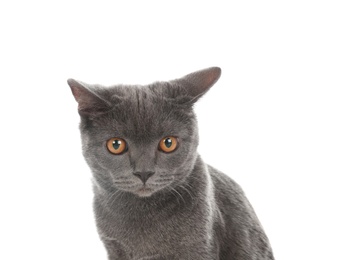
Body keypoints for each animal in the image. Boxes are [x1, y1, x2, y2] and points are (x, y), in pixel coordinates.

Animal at [67, 67, 274, 260]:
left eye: (168, 143)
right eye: (116, 145)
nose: (144, 172)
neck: (142, 214)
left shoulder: (199, 246)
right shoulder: (114, 247)